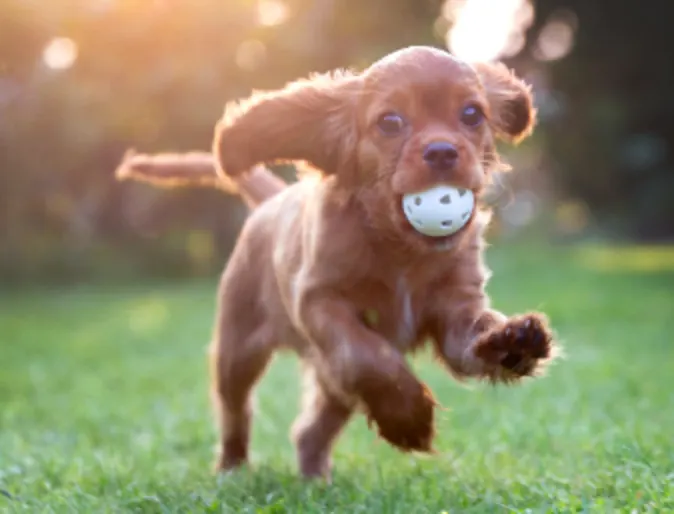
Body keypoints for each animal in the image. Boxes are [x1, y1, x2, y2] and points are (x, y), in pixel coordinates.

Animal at [115, 46, 556, 478]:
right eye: (390, 122)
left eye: (472, 114)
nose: (443, 152)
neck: (400, 251)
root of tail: (272, 199)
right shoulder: (320, 301)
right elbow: (367, 355)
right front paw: (407, 418)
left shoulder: (455, 306)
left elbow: (470, 338)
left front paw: (512, 342)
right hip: (237, 349)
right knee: (235, 410)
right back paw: (232, 468)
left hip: (327, 384)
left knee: (309, 431)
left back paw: (316, 480)